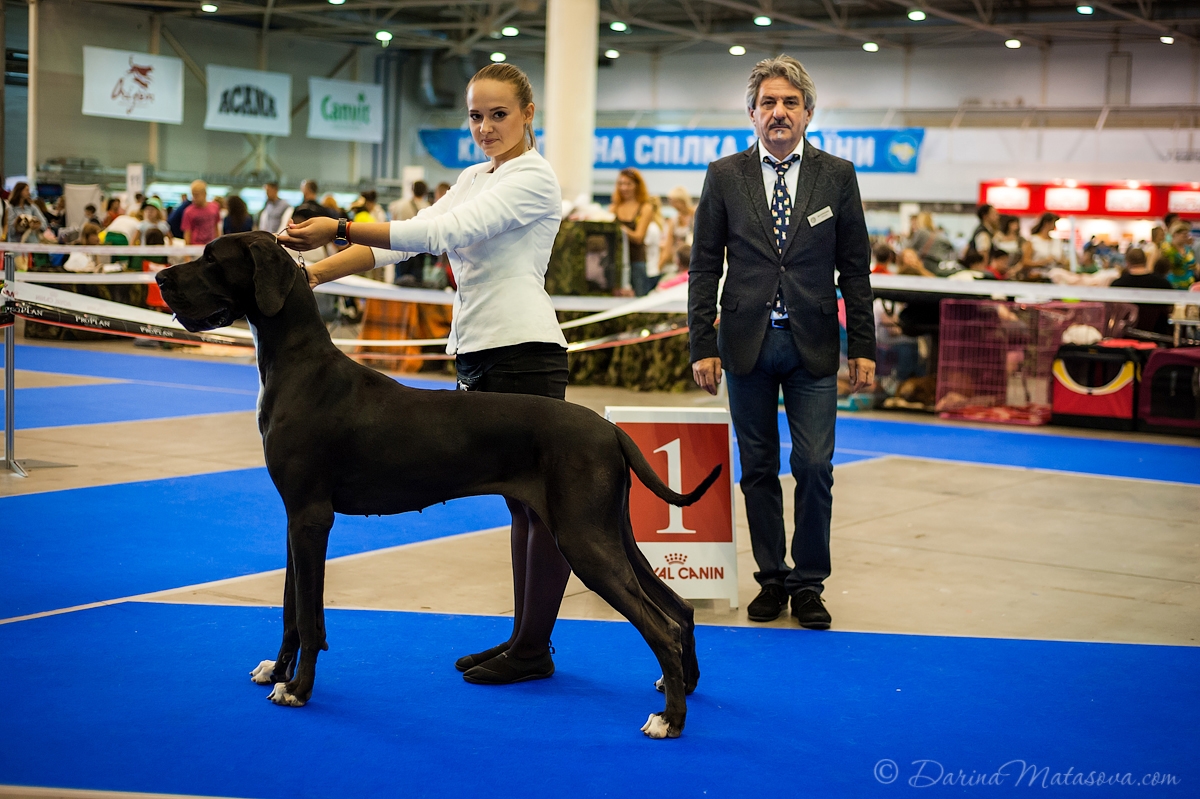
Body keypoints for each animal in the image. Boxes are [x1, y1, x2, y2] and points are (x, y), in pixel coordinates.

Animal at [159, 229, 720, 734]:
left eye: (213, 258)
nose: (161, 276)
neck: (298, 366)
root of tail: (610, 429)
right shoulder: (294, 518)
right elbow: (289, 610)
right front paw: (276, 671)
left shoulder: (312, 517)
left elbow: (311, 617)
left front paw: (298, 689)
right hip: (610, 531)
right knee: (679, 610)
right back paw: (683, 688)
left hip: (584, 538)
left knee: (661, 627)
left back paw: (670, 719)